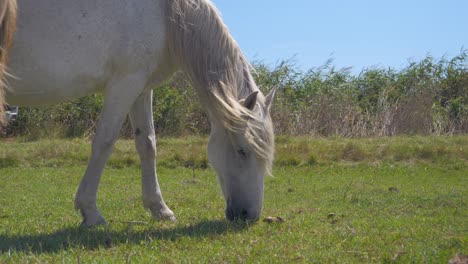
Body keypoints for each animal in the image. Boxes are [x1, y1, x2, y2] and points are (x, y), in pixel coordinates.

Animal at [2, 0, 274, 227]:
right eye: (242, 151)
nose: (250, 215)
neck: (165, 14)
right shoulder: (124, 84)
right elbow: (104, 142)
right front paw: (90, 212)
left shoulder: (141, 88)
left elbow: (147, 144)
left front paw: (159, 209)